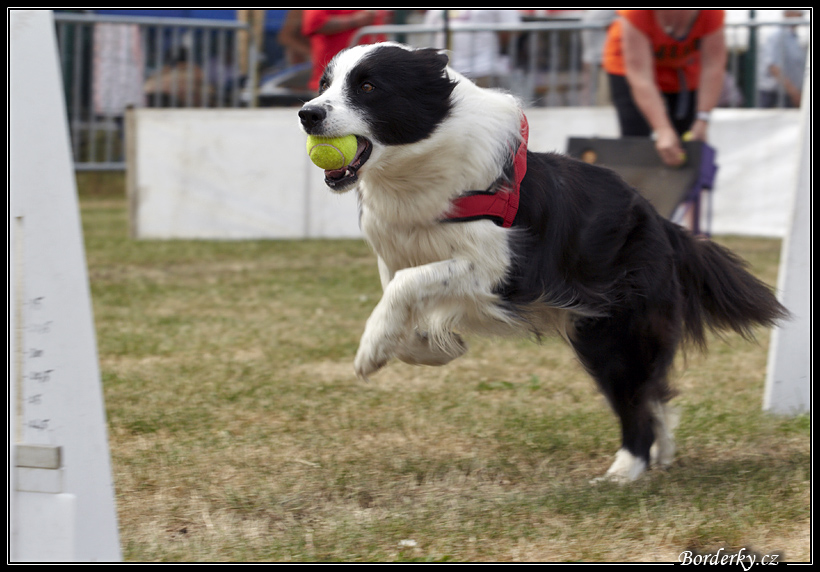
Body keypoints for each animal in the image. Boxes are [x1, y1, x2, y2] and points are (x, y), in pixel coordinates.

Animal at [298, 43, 788, 482]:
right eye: (323, 85)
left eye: (368, 86)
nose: (307, 113)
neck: (416, 173)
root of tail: (662, 222)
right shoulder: (399, 253)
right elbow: (401, 299)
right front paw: (434, 348)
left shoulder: (504, 268)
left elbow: (406, 288)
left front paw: (371, 352)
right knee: (653, 390)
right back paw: (661, 451)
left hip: (610, 329)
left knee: (635, 394)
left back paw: (626, 469)